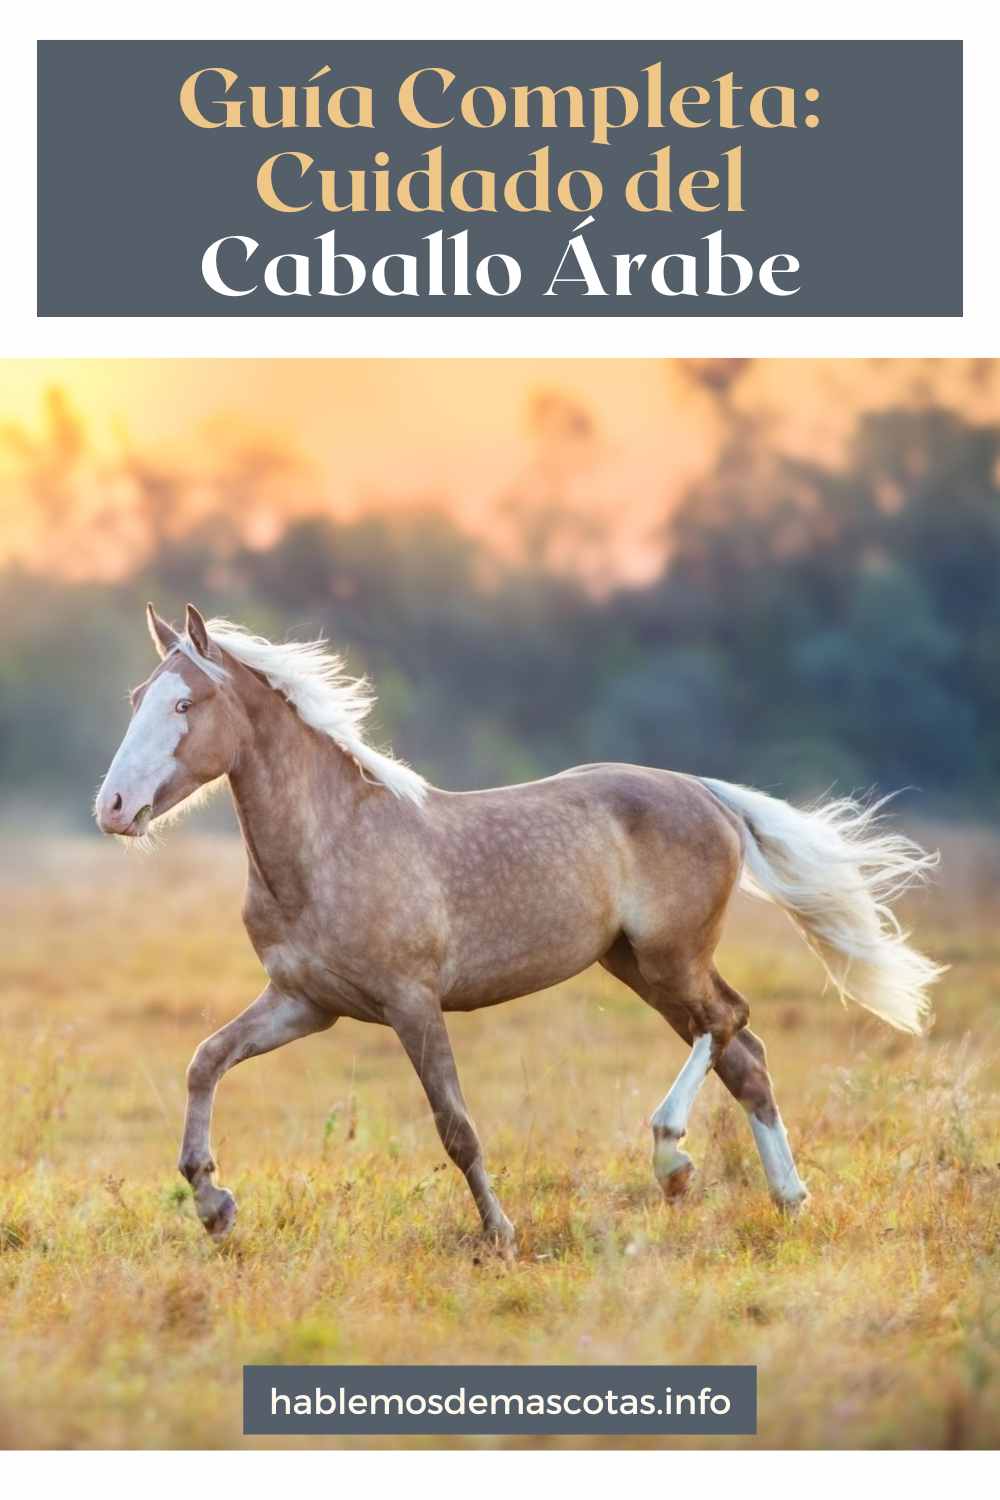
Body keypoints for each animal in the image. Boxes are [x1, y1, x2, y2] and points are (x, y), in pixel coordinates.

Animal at [94, 604, 944, 1246]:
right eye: (135, 696)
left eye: (185, 704)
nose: (113, 808)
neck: (330, 843)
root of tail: (705, 792)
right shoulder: (306, 1003)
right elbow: (205, 1061)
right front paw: (213, 1203)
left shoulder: (411, 1003)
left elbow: (456, 1125)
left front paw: (499, 1233)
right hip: (635, 965)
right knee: (748, 1058)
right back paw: (787, 1200)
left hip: (670, 957)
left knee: (727, 1022)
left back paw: (672, 1160)